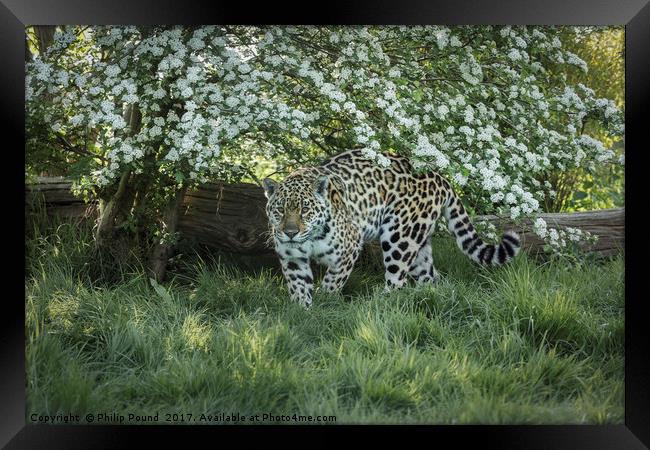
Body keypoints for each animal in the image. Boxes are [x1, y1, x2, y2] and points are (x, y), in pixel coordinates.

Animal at [260, 149, 520, 308]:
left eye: (305, 209)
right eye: (280, 209)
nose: (290, 233)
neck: (310, 239)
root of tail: (439, 175)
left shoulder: (349, 249)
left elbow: (333, 281)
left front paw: (326, 301)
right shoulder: (292, 258)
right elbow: (299, 287)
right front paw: (303, 311)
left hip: (400, 237)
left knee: (397, 280)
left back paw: (377, 304)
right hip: (419, 243)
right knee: (430, 277)